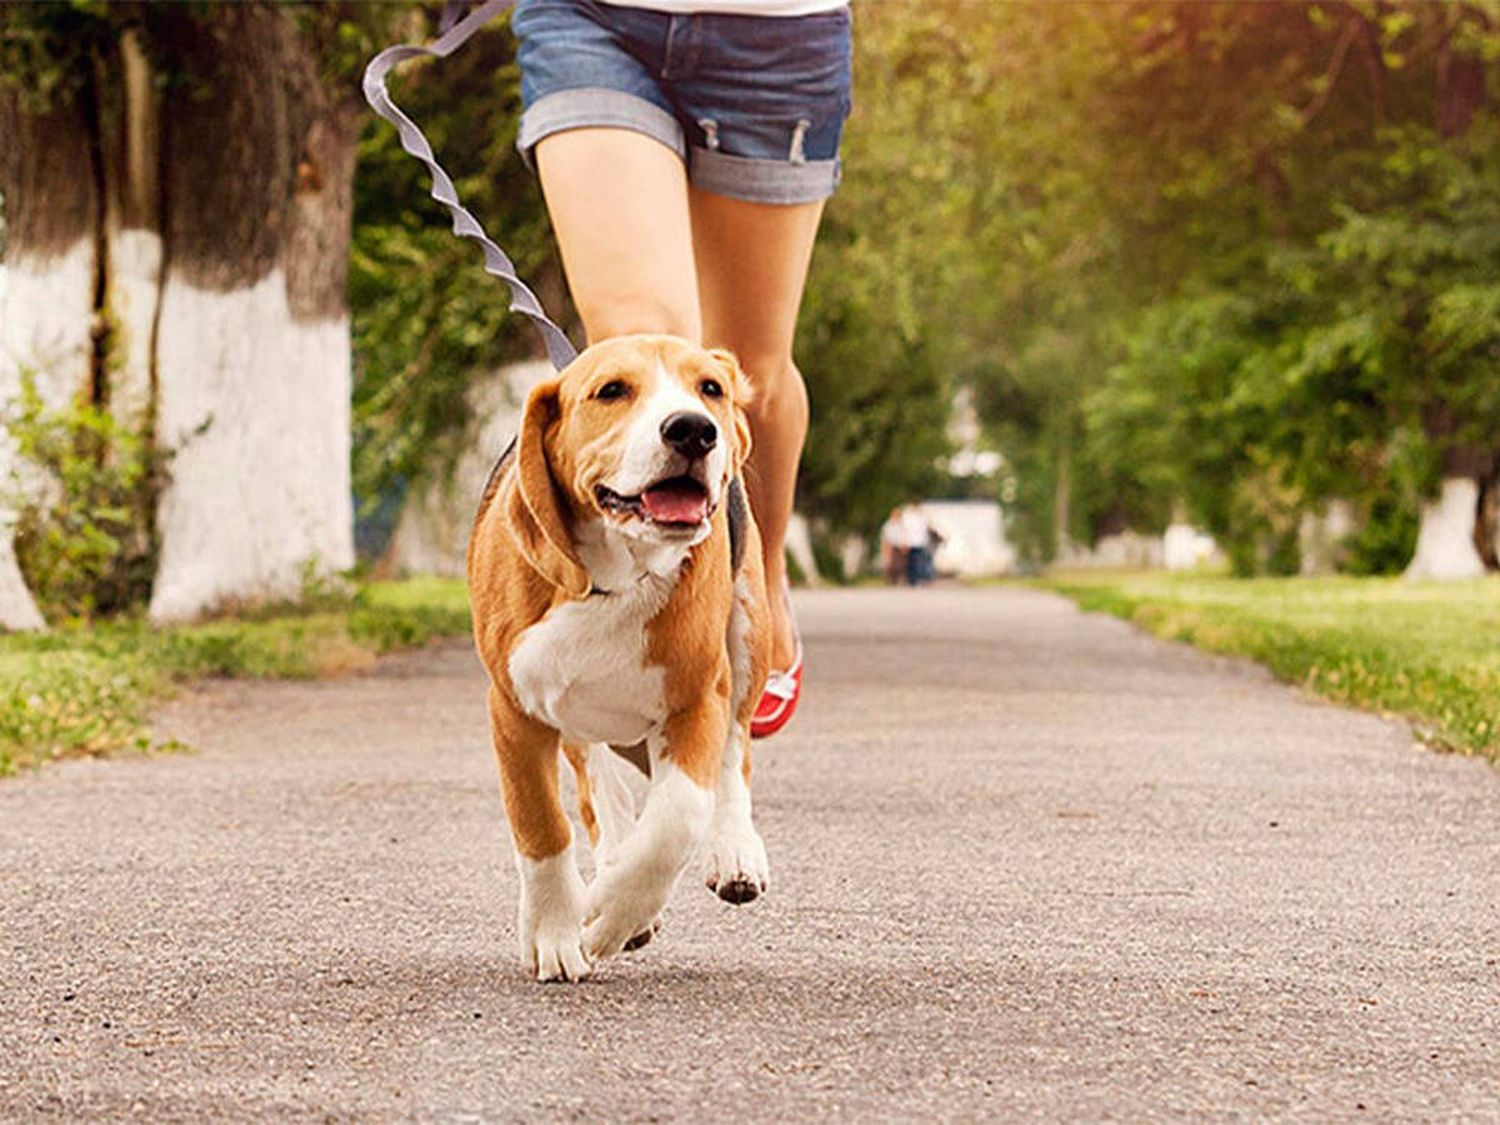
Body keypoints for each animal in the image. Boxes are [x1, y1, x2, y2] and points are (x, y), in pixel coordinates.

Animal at [468, 330, 774, 984]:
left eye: (710, 388)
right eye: (611, 391)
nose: (693, 429)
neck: (614, 577)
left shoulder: (696, 701)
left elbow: (676, 819)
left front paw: (611, 916)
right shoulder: (513, 709)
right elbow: (542, 825)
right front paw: (556, 934)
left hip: (748, 633)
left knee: (734, 752)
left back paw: (733, 851)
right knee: (596, 782)